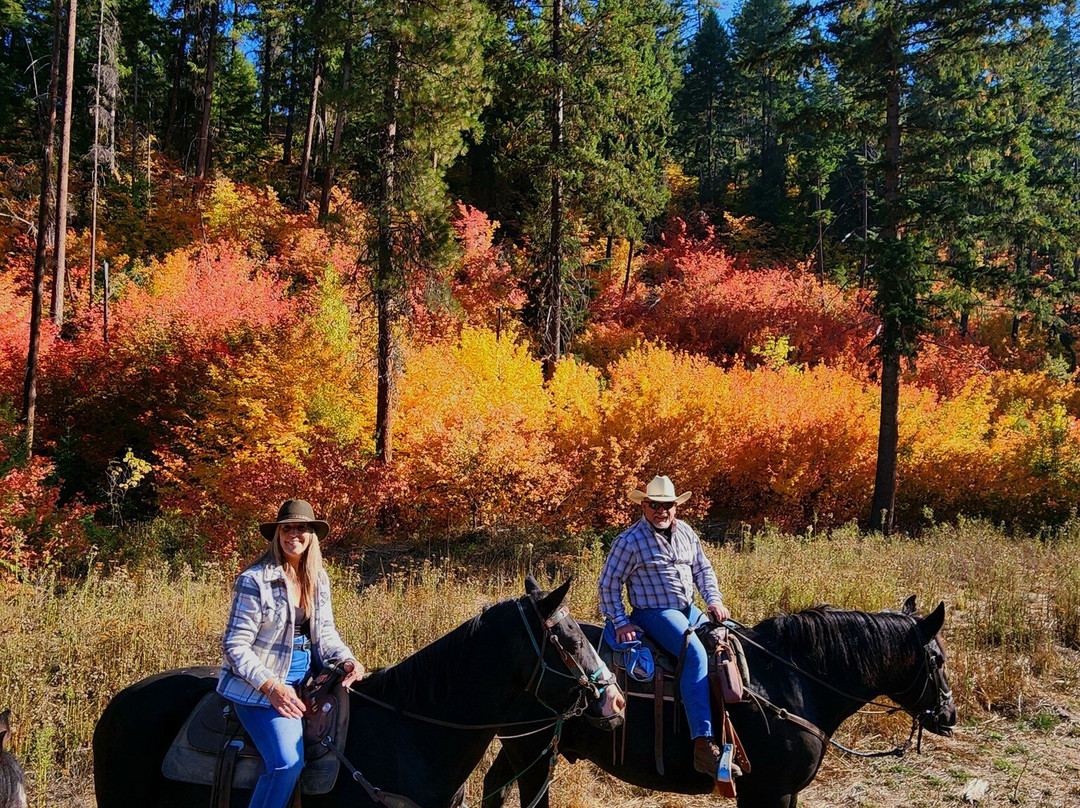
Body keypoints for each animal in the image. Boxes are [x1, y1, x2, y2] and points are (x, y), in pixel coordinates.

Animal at [483, 596, 956, 808]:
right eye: (938, 659)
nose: (949, 715)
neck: (792, 682)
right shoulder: (769, 792)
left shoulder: (782, 793)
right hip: (534, 754)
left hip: (521, 751)